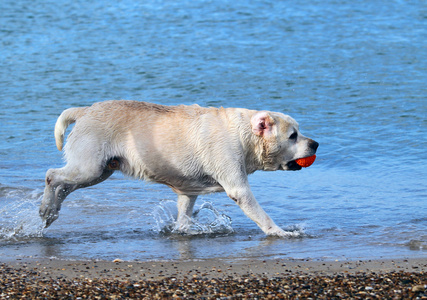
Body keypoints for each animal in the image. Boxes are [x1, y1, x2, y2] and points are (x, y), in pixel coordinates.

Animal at [40, 101, 320, 237]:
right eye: (293, 136)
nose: (315, 143)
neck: (245, 135)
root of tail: (85, 111)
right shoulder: (238, 186)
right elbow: (261, 215)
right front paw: (280, 232)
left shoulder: (189, 192)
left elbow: (184, 215)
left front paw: (185, 229)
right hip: (87, 167)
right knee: (52, 175)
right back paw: (46, 209)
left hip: (98, 172)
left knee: (63, 185)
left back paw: (51, 213)